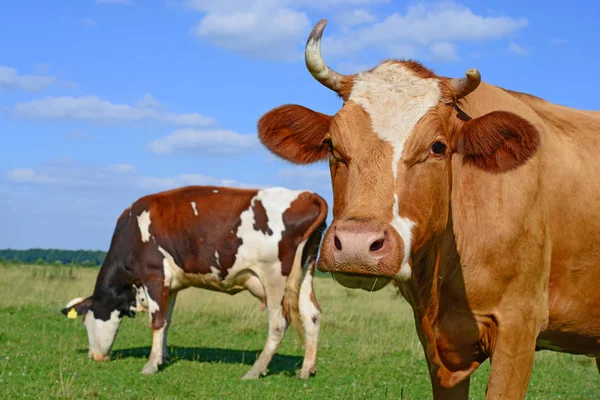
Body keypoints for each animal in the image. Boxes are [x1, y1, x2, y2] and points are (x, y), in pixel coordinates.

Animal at [61, 186, 328, 380]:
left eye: (86, 321)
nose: (95, 356)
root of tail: (306, 195)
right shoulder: (171, 285)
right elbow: (166, 321)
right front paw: (163, 357)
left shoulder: (154, 276)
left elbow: (156, 322)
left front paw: (150, 365)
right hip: (303, 275)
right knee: (312, 315)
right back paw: (307, 369)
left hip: (274, 276)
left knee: (278, 323)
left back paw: (254, 370)